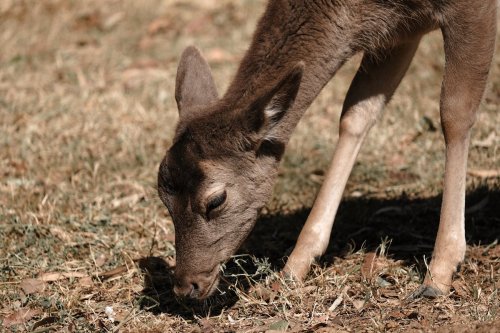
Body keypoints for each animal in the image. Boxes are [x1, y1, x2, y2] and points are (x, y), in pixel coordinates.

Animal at [157, 0, 496, 300]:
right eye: (163, 197)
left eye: (216, 200)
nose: (186, 286)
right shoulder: (401, 30)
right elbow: (356, 114)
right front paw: (292, 270)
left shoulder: (472, 7)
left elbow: (455, 112)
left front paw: (439, 274)